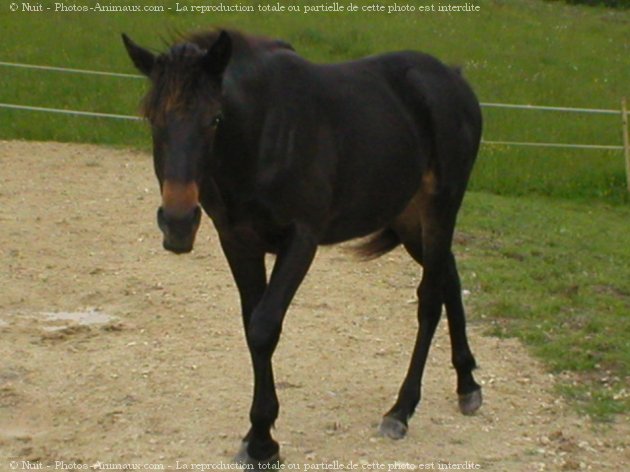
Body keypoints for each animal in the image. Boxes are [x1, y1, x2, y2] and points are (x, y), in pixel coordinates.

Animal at [123, 30, 484, 468]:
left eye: (214, 119)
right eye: (152, 119)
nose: (177, 222)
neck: (262, 136)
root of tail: (454, 79)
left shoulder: (301, 241)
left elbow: (264, 328)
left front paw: (263, 441)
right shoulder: (238, 241)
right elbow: (251, 326)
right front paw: (257, 437)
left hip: (441, 206)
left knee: (430, 298)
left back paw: (401, 409)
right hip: (410, 219)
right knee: (448, 277)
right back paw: (467, 384)